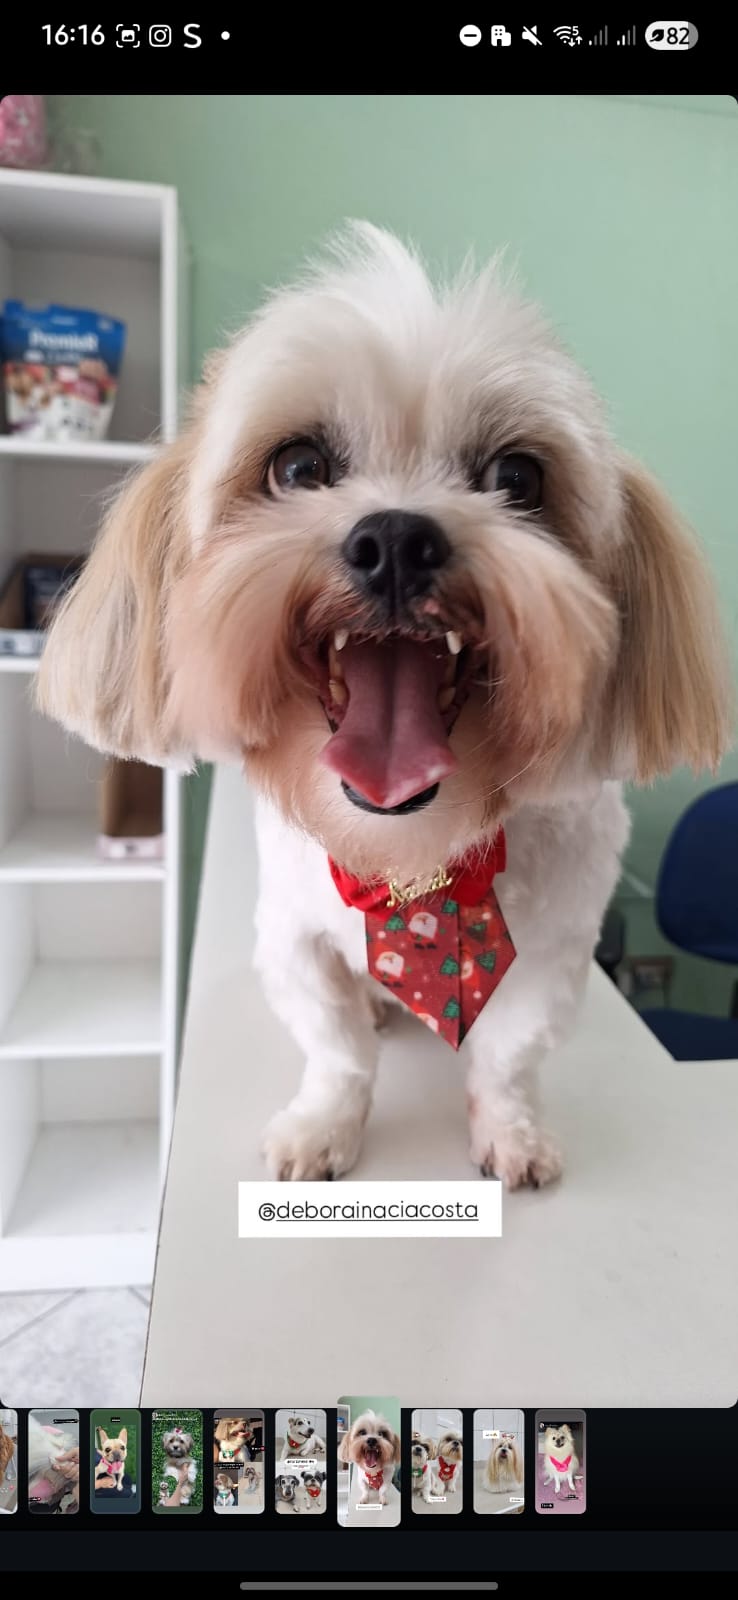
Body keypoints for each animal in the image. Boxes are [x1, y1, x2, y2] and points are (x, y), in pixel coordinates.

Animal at [38, 224, 731, 1188]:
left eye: (518, 476)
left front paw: (510, 1132)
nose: (396, 538)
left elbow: (509, 1054)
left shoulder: (559, 949)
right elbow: (336, 1050)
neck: (418, 863)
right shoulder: (291, 937)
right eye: (298, 465)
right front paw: (323, 1126)